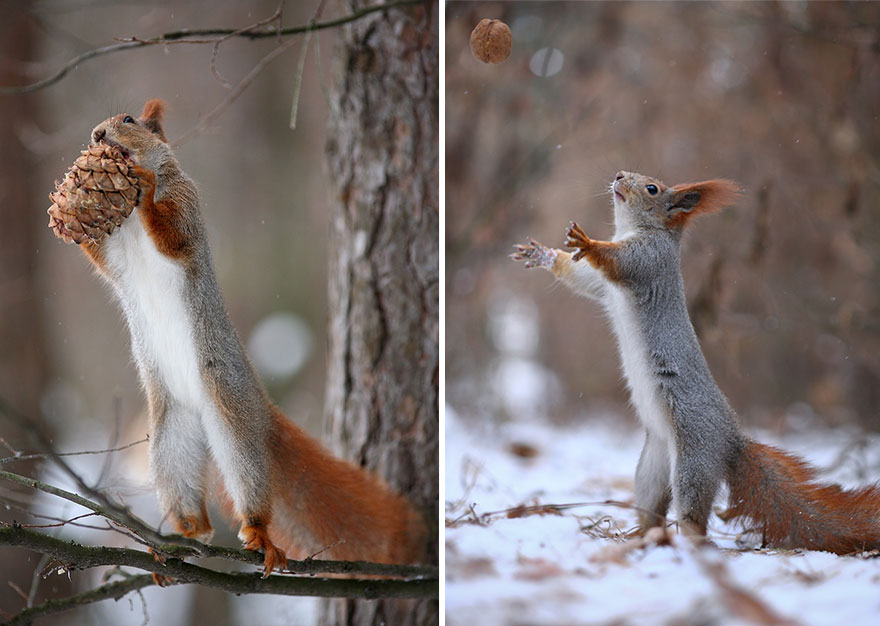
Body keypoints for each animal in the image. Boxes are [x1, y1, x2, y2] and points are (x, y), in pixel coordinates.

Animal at [71, 99, 425, 577]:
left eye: (128, 121)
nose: (96, 135)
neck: (128, 226)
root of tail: (261, 408)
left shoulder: (187, 205)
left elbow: (174, 236)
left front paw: (144, 184)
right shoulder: (115, 259)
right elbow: (100, 259)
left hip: (230, 417)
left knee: (250, 482)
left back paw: (256, 532)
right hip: (170, 440)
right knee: (189, 500)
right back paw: (182, 537)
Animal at [512, 170, 880, 554]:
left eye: (652, 188)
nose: (619, 175)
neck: (635, 230)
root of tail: (731, 438)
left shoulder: (648, 260)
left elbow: (617, 261)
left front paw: (587, 242)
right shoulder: (603, 286)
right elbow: (583, 280)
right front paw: (541, 254)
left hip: (694, 459)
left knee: (694, 516)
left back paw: (687, 544)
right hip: (653, 466)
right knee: (652, 507)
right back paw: (639, 538)